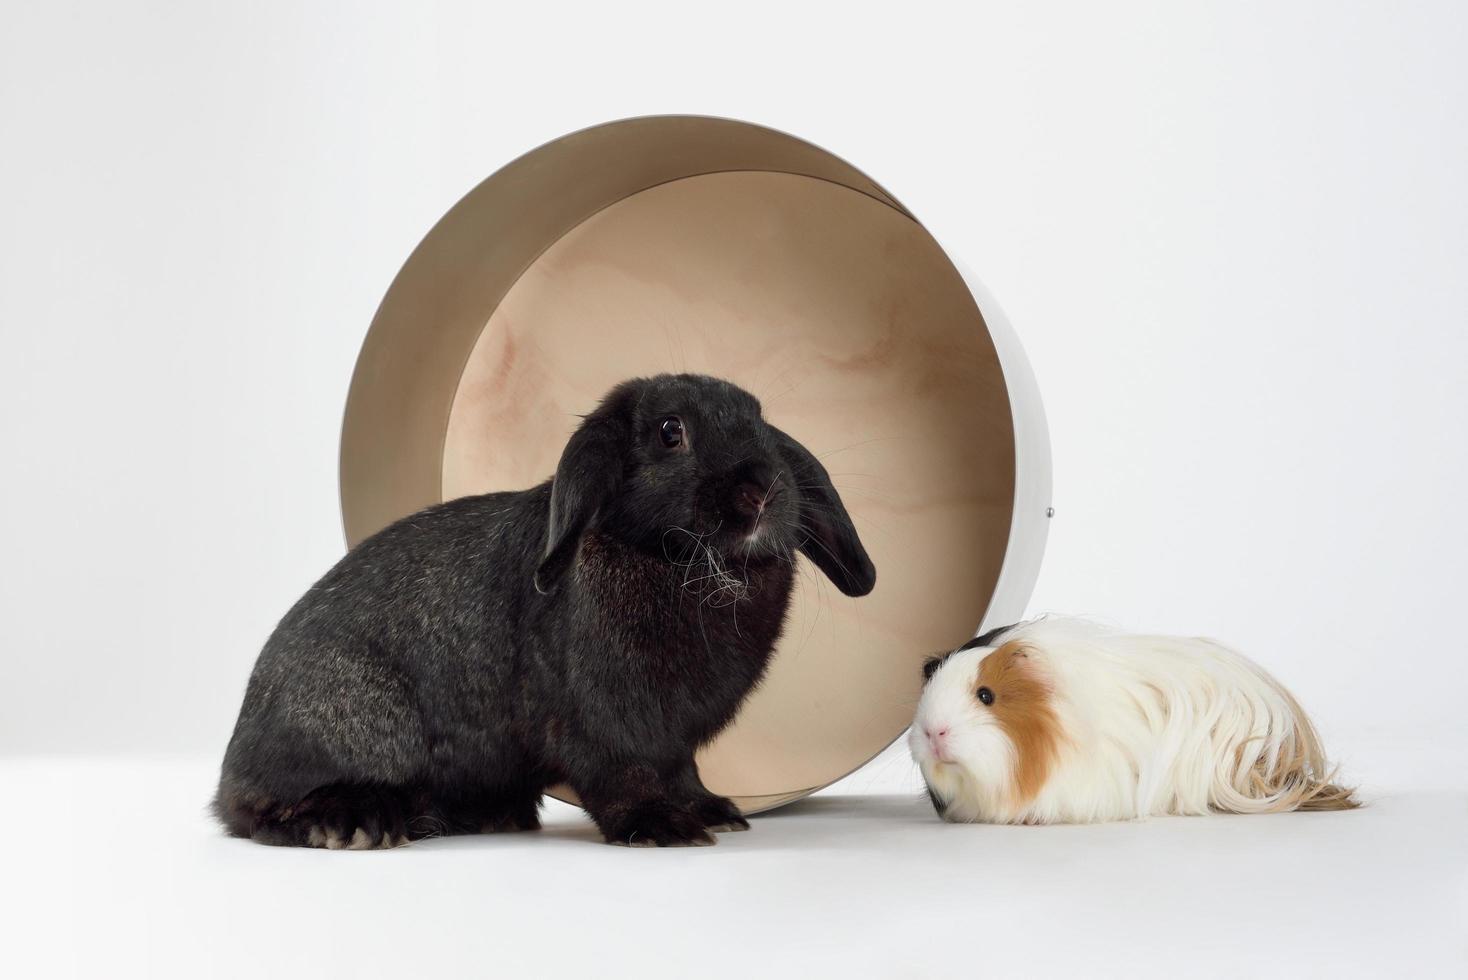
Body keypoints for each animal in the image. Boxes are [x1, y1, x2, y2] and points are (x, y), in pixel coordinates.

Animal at [214, 371, 869, 845]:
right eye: (669, 431)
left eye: (760, 422)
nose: (762, 490)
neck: (670, 559)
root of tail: (237, 754)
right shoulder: (604, 725)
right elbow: (622, 777)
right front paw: (662, 828)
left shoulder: (674, 740)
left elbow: (683, 773)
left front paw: (714, 813)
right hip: (357, 722)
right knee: (260, 812)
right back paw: (354, 825)